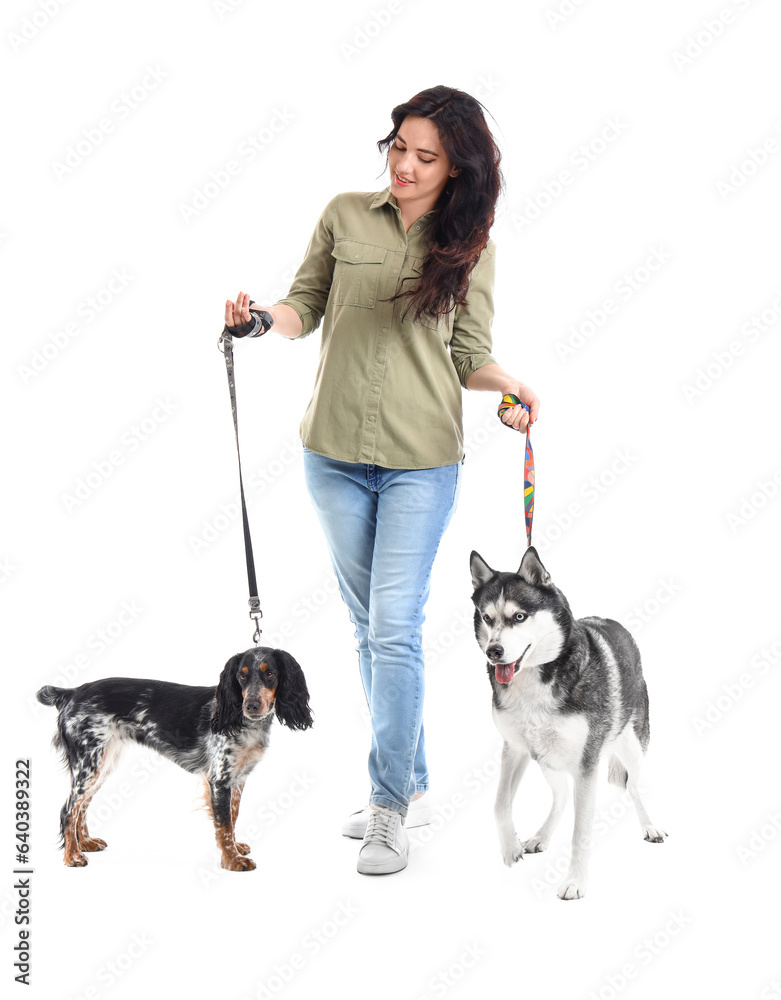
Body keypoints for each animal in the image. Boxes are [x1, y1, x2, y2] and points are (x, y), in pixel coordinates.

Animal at [470, 548, 664, 900]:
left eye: (519, 616)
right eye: (487, 618)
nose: (494, 652)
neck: (537, 677)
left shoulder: (588, 764)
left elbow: (581, 831)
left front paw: (575, 882)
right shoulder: (515, 749)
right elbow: (500, 804)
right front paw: (510, 847)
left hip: (631, 748)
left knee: (632, 786)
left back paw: (650, 827)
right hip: (546, 757)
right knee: (560, 796)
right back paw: (540, 836)